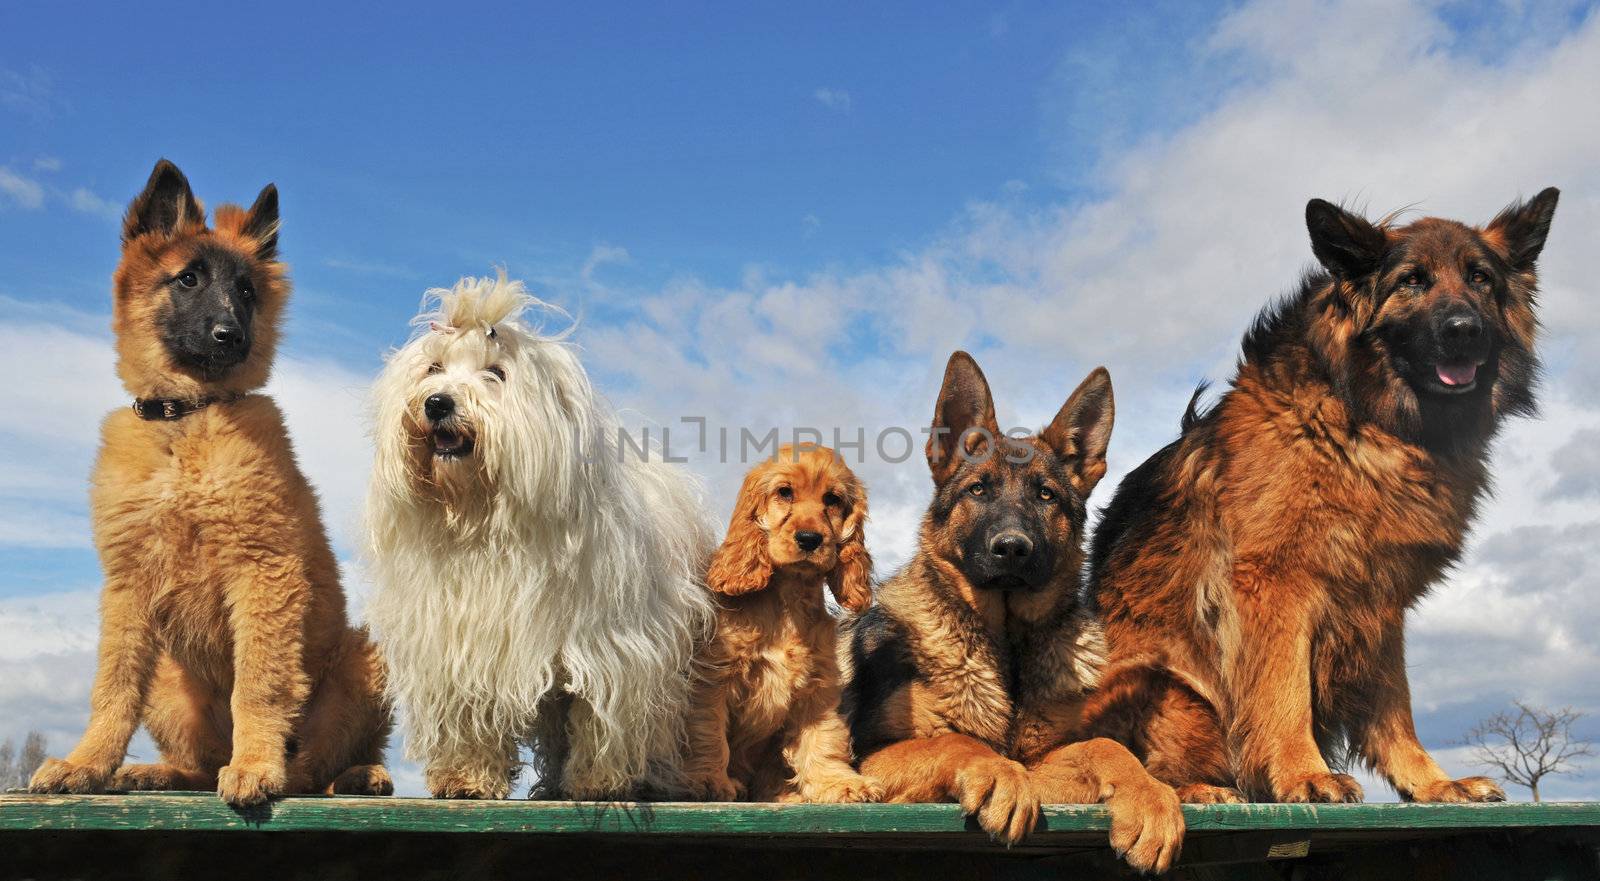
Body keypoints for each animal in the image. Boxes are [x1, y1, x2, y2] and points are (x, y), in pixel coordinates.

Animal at [29, 158, 392, 805]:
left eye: (247, 291)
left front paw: (256, 766)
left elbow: (259, 683)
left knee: (318, 765)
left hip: (360, 660)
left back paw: (345, 774)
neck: (187, 419)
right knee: (201, 765)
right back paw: (158, 772)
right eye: (188, 280)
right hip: (170, 683)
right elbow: (112, 686)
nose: (231, 336)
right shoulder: (128, 588)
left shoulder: (264, 570)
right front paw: (86, 764)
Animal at [366, 273, 716, 799]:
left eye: (496, 374)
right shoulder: (459, 643)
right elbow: (469, 712)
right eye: (434, 368)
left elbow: (597, 714)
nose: (437, 402)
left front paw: (596, 781)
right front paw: (467, 777)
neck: (484, 519)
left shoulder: (610, 648)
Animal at [684, 444, 883, 802]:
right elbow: (709, 731)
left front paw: (839, 783)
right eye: (785, 492)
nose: (809, 539)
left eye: (832, 499)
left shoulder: (818, 686)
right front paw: (709, 781)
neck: (788, 598)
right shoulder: (713, 678)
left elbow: (823, 739)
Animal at [844, 353, 1184, 876]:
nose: (1011, 549)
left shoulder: (1046, 759)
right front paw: (999, 773)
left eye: (1046, 496)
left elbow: (1107, 746)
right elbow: (955, 741)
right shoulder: (871, 760)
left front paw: (1151, 797)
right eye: (978, 490)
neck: (1006, 648)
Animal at [1088, 191, 1561, 805]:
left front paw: (1431, 782)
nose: (1464, 330)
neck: (1366, 423)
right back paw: (1199, 788)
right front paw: (1302, 774)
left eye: (1480, 278)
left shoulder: (1379, 601)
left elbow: (1394, 706)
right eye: (1412, 281)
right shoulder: (1276, 582)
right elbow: (1284, 692)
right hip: (1164, 685)